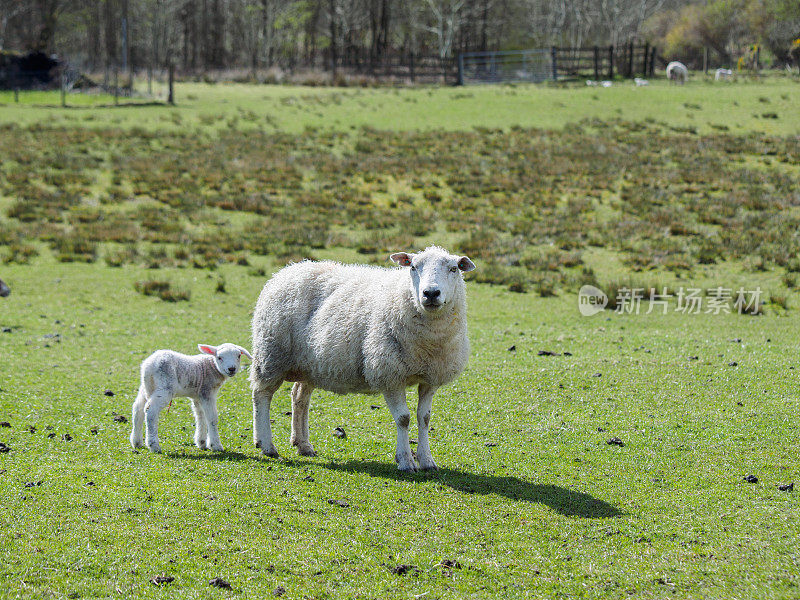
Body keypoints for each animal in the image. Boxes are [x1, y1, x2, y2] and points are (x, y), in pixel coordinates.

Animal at [250, 246, 476, 472]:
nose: (430, 293)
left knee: (299, 397)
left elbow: (425, 418)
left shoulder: (430, 379)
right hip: (271, 355)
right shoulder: (389, 374)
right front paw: (405, 460)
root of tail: (288, 270)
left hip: (310, 364)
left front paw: (427, 460)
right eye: (413, 266)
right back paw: (266, 446)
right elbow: (403, 418)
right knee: (261, 395)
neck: (428, 344)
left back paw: (303, 444)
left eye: (454, 268)